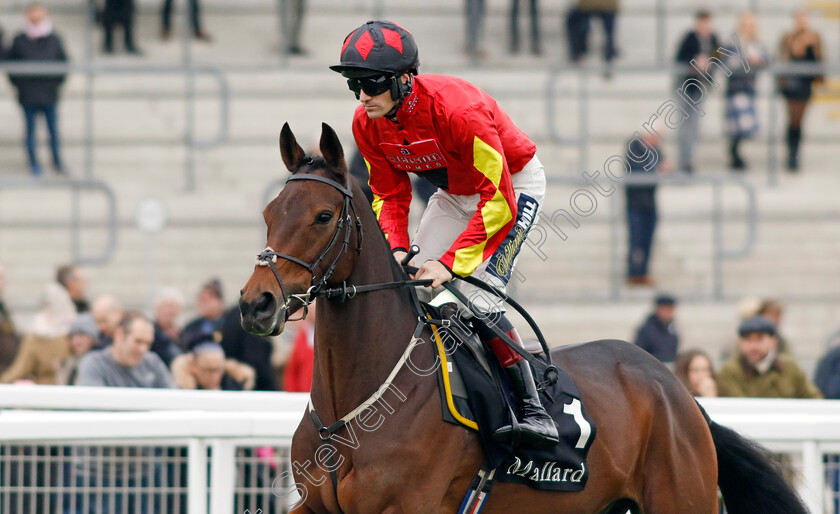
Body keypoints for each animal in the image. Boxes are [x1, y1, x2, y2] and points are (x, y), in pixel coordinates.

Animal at [240, 122, 804, 510]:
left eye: (323, 216)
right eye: (268, 213)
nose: (255, 303)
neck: (355, 408)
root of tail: (679, 394)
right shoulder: (315, 505)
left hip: (680, 499)